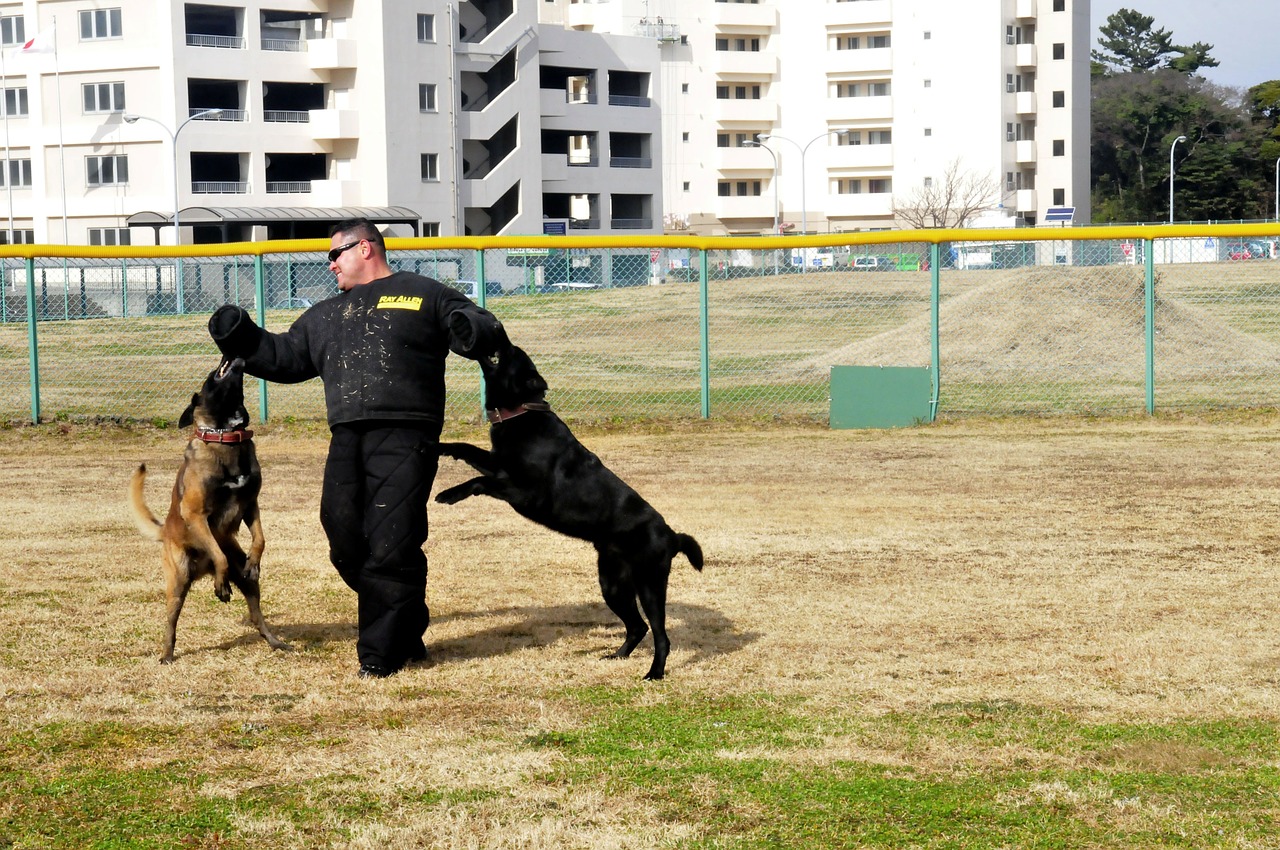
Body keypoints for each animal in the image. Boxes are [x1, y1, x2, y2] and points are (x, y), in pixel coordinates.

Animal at [128, 358, 291, 665]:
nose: (229, 357)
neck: (227, 437)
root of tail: (165, 531)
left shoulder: (251, 505)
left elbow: (260, 539)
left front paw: (254, 561)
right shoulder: (196, 514)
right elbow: (219, 555)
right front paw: (221, 583)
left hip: (248, 584)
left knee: (256, 614)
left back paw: (275, 641)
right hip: (178, 580)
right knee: (171, 621)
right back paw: (167, 654)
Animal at [437, 337, 701, 675]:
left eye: (512, 353)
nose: (506, 338)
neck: (522, 412)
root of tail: (671, 534)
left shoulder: (525, 492)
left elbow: (478, 481)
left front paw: (448, 493)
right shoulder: (499, 465)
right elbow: (467, 449)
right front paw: (439, 446)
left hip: (649, 584)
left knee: (660, 635)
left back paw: (654, 674)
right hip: (613, 584)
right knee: (637, 627)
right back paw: (617, 656)